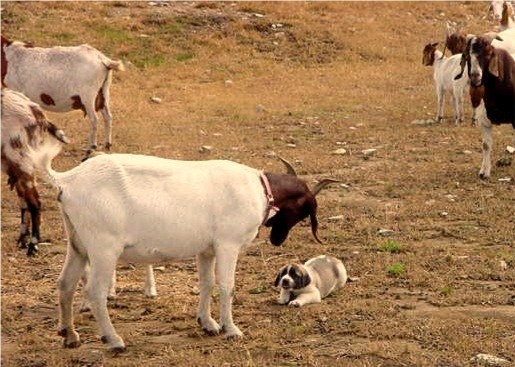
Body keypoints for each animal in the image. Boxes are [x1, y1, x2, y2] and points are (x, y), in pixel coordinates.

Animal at [0, 89, 69, 256]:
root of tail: (33, 108)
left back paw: (33, 245)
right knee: (24, 202)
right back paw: (22, 240)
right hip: (13, 165)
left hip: (21, 160)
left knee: (35, 203)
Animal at [34, 149, 336, 350]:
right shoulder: (227, 244)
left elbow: (206, 283)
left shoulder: (207, 250)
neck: (260, 190)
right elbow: (227, 285)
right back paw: (114, 340)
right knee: (94, 291)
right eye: (303, 210)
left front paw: (208, 323)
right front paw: (231, 329)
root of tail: (67, 180)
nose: (277, 240)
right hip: (103, 247)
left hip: (78, 244)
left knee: (65, 284)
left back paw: (69, 335)